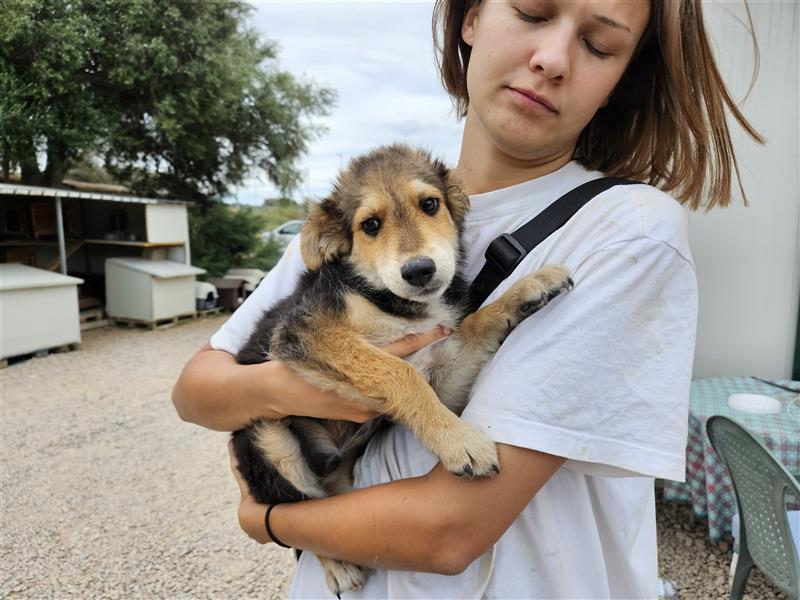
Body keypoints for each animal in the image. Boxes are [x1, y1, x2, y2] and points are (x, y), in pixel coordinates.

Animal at [228, 142, 572, 596]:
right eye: (370, 225)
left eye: (430, 205)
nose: (419, 270)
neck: (393, 302)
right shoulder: (307, 333)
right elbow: (397, 371)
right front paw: (460, 442)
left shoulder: (442, 371)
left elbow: (474, 325)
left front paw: (531, 286)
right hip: (269, 442)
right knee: (295, 510)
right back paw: (338, 566)